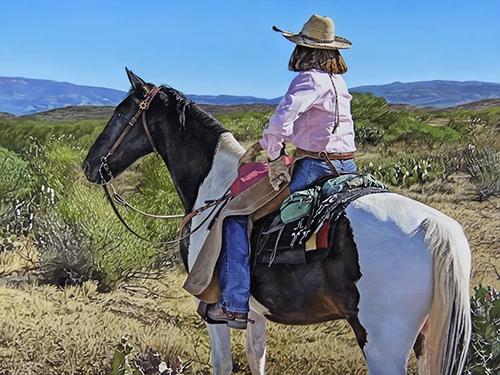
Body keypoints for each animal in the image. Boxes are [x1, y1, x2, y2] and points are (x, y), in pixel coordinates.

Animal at [83, 68, 472, 375]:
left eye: (121, 112)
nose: (90, 165)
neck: (215, 186)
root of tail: (435, 228)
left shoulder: (213, 312)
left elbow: (223, 364)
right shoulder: (253, 313)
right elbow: (257, 359)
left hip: (382, 345)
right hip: (425, 339)